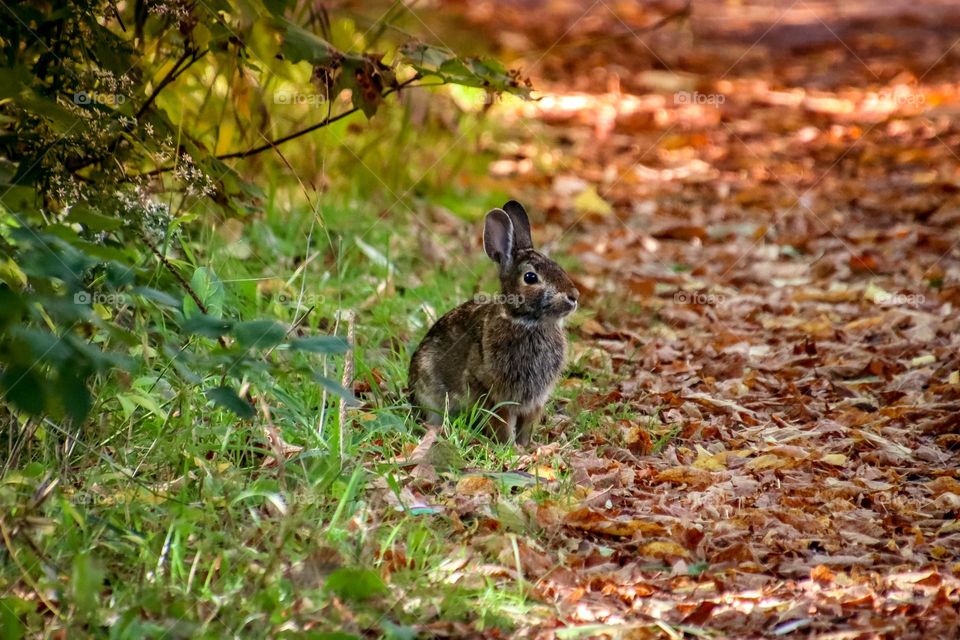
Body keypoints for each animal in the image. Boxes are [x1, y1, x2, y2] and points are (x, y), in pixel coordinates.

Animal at [408, 200, 580, 445]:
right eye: (530, 278)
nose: (574, 296)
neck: (525, 321)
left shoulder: (535, 401)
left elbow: (527, 424)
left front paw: (525, 446)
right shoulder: (493, 393)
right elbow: (502, 423)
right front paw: (510, 447)